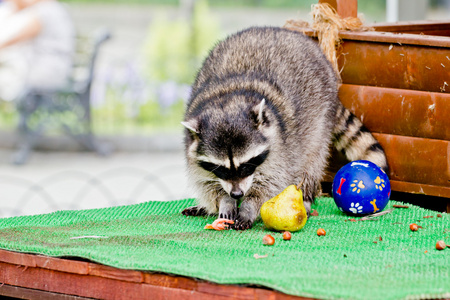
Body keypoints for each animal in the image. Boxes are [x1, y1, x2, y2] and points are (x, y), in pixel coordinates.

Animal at [179, 27, 386, 230]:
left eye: (246, 165)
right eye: (220, 168)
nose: (237, 194)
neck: (227, 98)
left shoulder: (280, 147)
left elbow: (270, 185)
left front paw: (248, 207)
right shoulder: (194, 153)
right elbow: (207, 182)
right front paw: (225, 201)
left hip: (320, 119)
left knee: (312, 162)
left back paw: (306, 197)